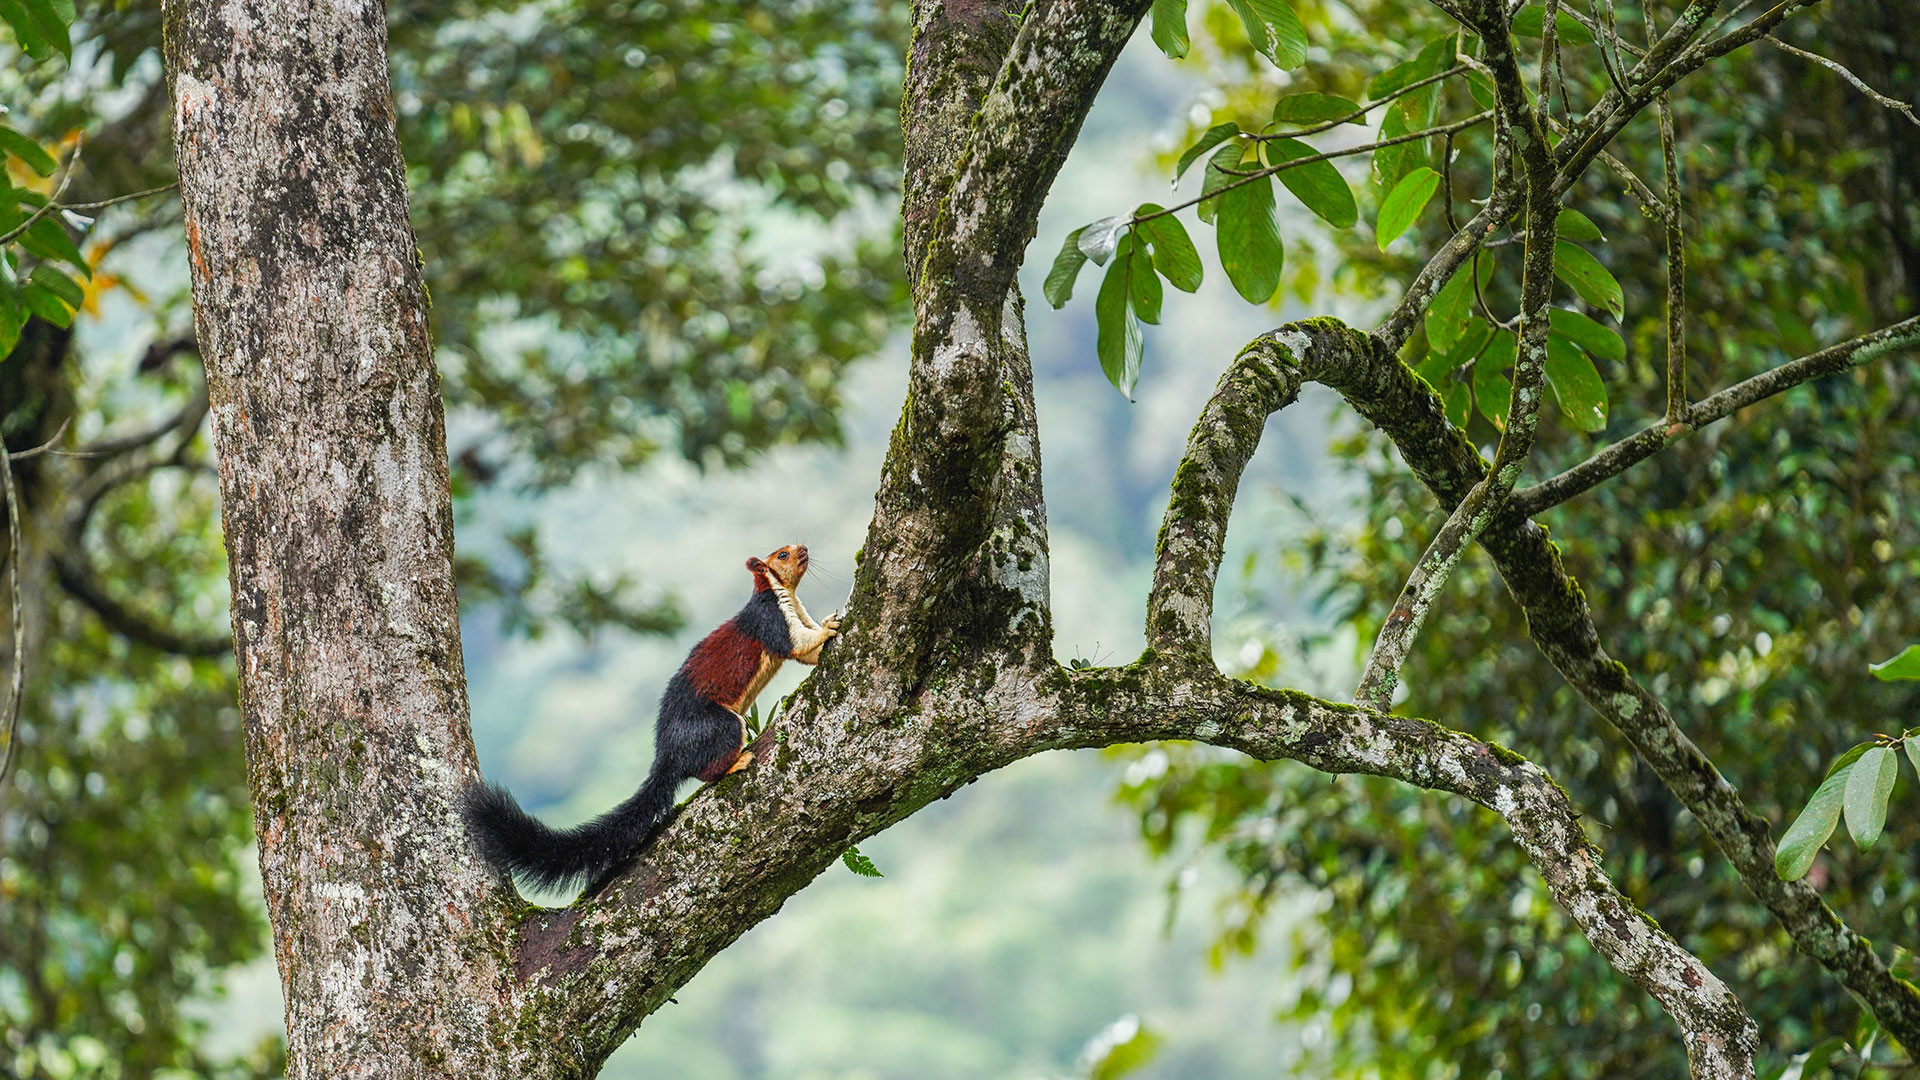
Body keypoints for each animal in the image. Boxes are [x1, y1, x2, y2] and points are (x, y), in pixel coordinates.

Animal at [462, 544, 840, 894]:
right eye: (782, 554)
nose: (805, 548)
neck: (780, 594)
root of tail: (668, 756)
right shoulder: (770, 621)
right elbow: (797, 643)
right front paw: (829, 628)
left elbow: (807, 653)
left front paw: (826, 627)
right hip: (721, 726)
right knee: (707, 770)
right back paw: (735, 763)